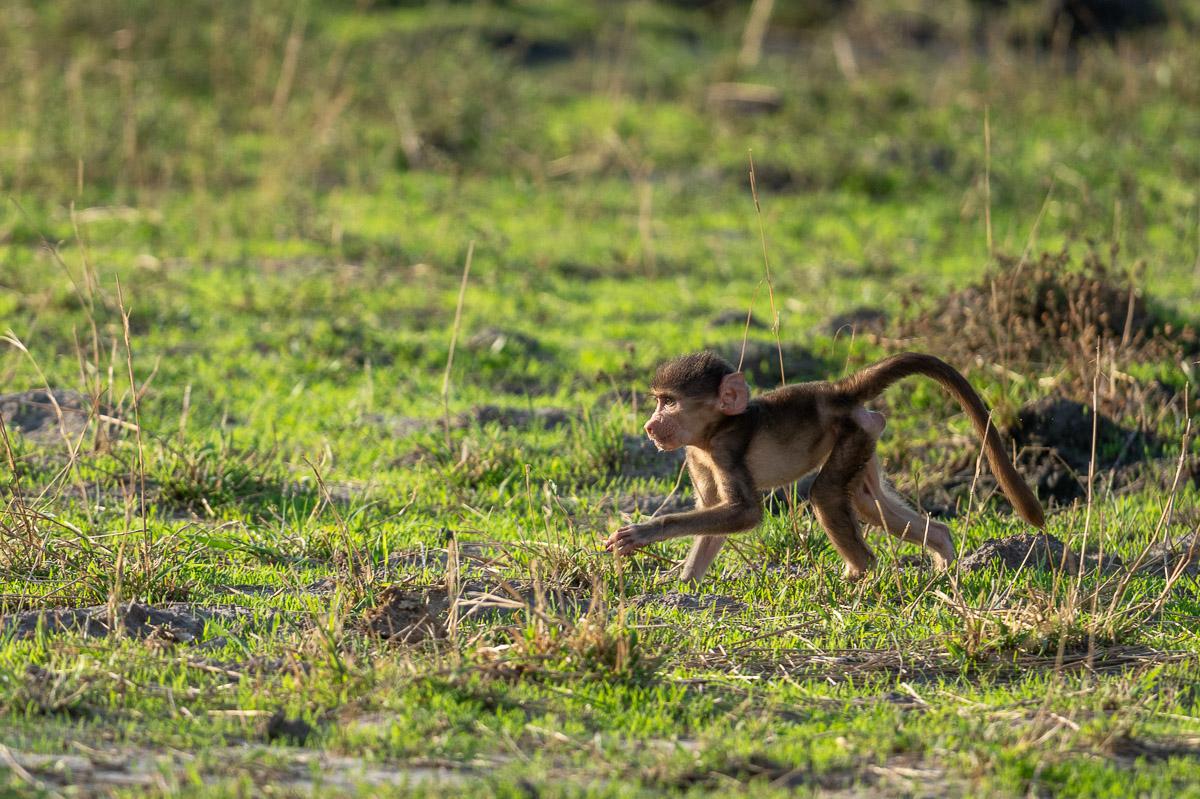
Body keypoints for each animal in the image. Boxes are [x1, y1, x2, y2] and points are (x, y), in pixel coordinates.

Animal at [604, 351, 1045, 582]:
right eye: (659, 401)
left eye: (670, 402)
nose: (650, 426)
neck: (713, 430)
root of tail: (837, 391)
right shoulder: (696, 457)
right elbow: (715, 522)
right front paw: (683, 584)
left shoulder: (726, 450)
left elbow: (744, 513)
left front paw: (642, 533)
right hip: (864, 434)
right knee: (865, 499)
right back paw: (943, 557)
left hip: (852, 433)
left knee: (827, 495)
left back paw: (859, 574)